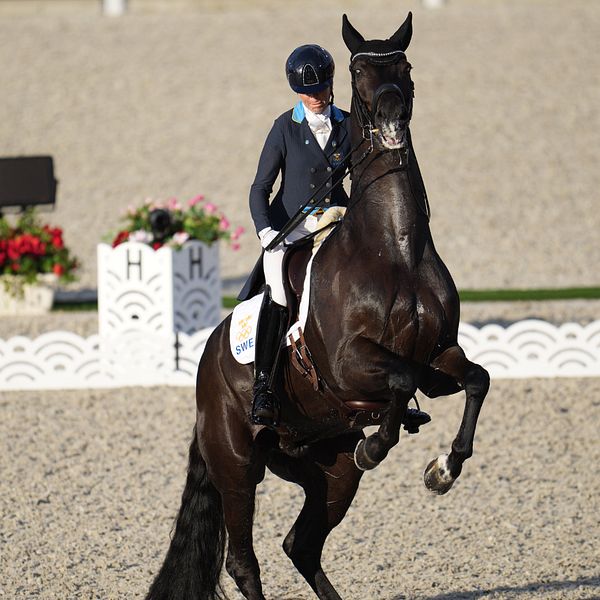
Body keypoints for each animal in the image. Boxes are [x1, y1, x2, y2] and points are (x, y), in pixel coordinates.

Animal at [145, 10, 488, 600]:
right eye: (358, 70)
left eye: (405, 66)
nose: (392, 118)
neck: (394, 248)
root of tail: (207, 365)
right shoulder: (349, 364)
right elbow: (400, 379)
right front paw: (381, 447)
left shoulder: (438, 354)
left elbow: (473, 379)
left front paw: (442, 470)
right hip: (239, 467)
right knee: (243, 561)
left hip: (322, 464)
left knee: (300, 544)